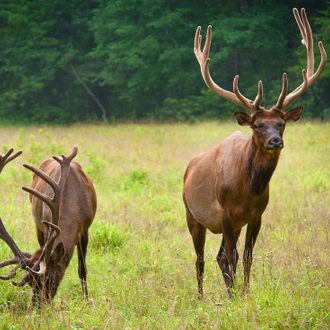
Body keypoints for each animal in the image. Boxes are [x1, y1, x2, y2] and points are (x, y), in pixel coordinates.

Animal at [0, 146, 98, 302]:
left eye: (48, 278)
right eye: (31, 283)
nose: (37, 304)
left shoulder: (85, 230)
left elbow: (82, 269)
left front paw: (86, 300)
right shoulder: (46, 226)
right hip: (38, 227)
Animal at [184, 7, 326, 298]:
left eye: (281, 123)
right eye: (257, 125)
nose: (275, 141)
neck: (248, 188)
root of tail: (188, 168)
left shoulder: (257, 215)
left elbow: (247, 256)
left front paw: (245, 293)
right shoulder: (225, 211)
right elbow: (233, 256)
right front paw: (235, 296)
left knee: (218, 257)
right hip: (192, 215)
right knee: (201, 258)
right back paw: (201, 297)